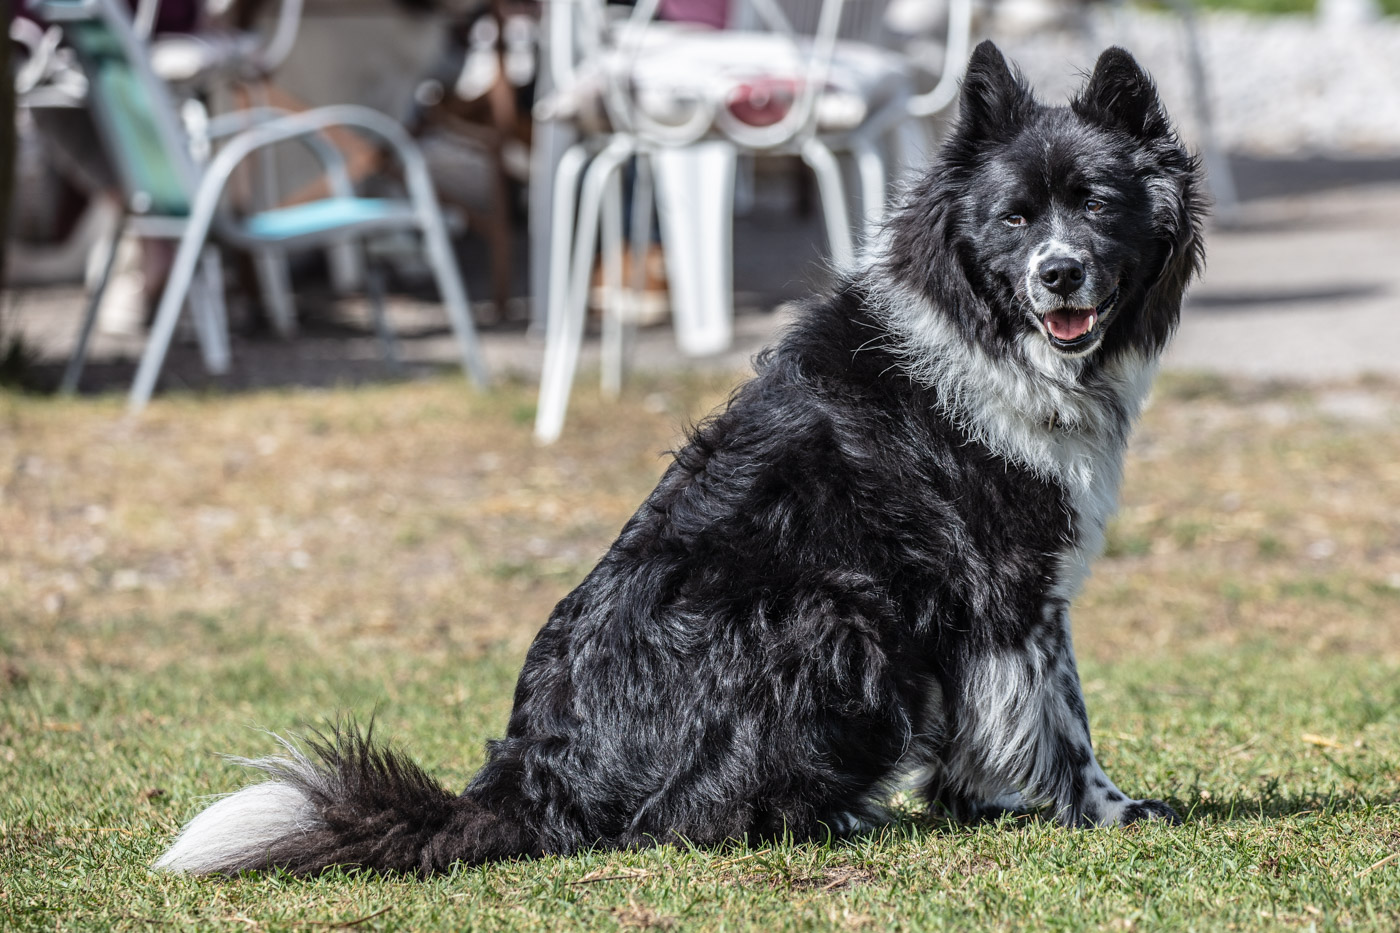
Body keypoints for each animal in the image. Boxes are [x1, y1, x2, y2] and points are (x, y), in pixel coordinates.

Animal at [153, 41, 1204, 874]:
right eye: (1015, 218)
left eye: (1095, 205)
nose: (1059, 274)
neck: (992, 330)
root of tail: (533, 778)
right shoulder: (1009, 586)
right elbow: (1060, 718)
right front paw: (1107, 811)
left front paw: (978, 801)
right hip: (833, 613)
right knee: (683, 818)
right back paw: (826, 817)